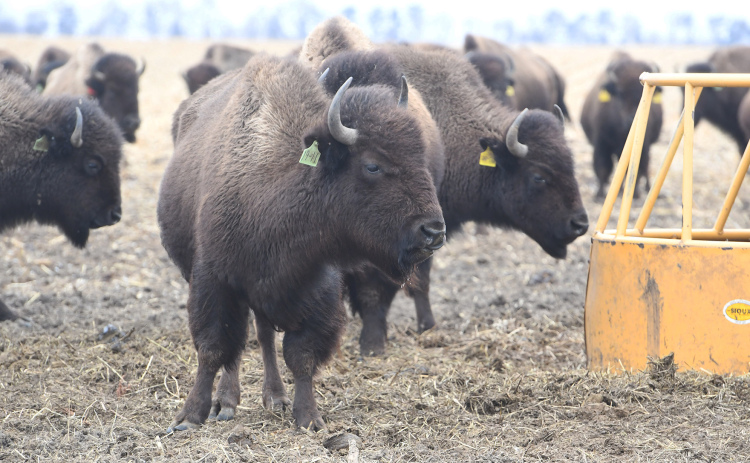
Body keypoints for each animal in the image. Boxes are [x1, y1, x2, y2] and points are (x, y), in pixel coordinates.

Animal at [158, 54, 445, 431]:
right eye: (373, 165)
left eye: (421, 158)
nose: (433, 231)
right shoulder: (214, 280)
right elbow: (212, 348)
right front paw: (189, 416)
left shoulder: (318, 293)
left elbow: (301, 356)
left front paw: (308, 417)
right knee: (239, 345)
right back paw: (227, 402)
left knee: (263, 335)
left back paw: (275, 397)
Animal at [581, 52, 663, 199]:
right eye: (620, 93)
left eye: (643, 94)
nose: (631, 119)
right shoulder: (601, 144)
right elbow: (602, 167)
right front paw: (599, 195)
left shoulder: (643, 145)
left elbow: (636, 170)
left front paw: (635, 194)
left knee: (645, 169)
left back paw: (645, 189)